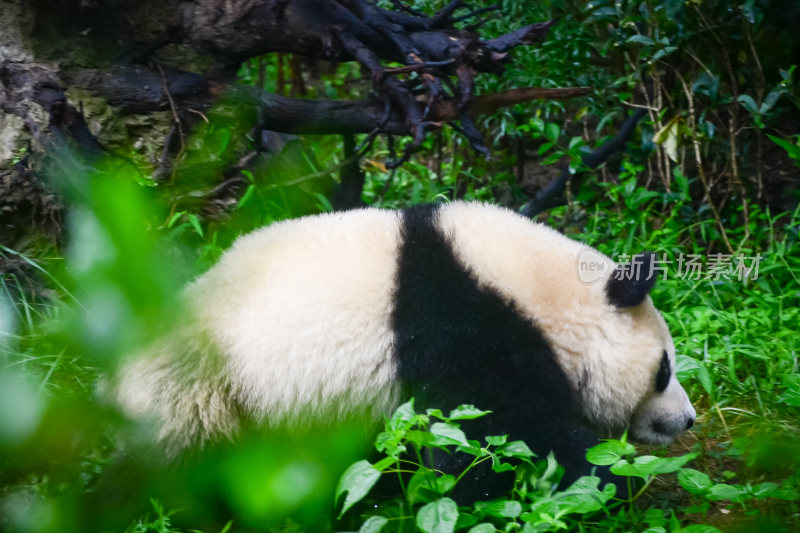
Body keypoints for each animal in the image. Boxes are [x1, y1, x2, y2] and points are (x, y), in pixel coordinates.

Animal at [115, 203, 696, 498]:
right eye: (664, 370)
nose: (687, 419)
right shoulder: (458, 327)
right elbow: (493, 438)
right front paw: (611, 476)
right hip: (208, 396)